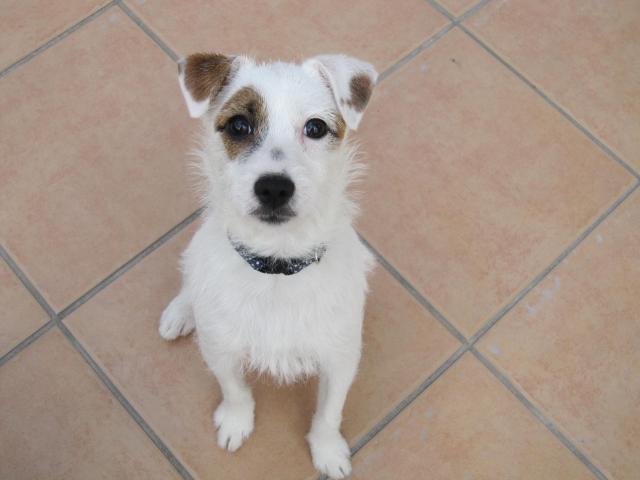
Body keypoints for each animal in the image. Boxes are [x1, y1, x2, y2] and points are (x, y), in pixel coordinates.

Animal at [159, 51, 377, 479]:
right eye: (239, 125)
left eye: (316, 127)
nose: (274, 187)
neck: (277, 266)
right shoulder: (220, 348)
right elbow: (235, 390)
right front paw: (236, 422)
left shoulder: (341, 357)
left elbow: (329, 412)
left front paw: (328, 451)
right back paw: (180, 312)